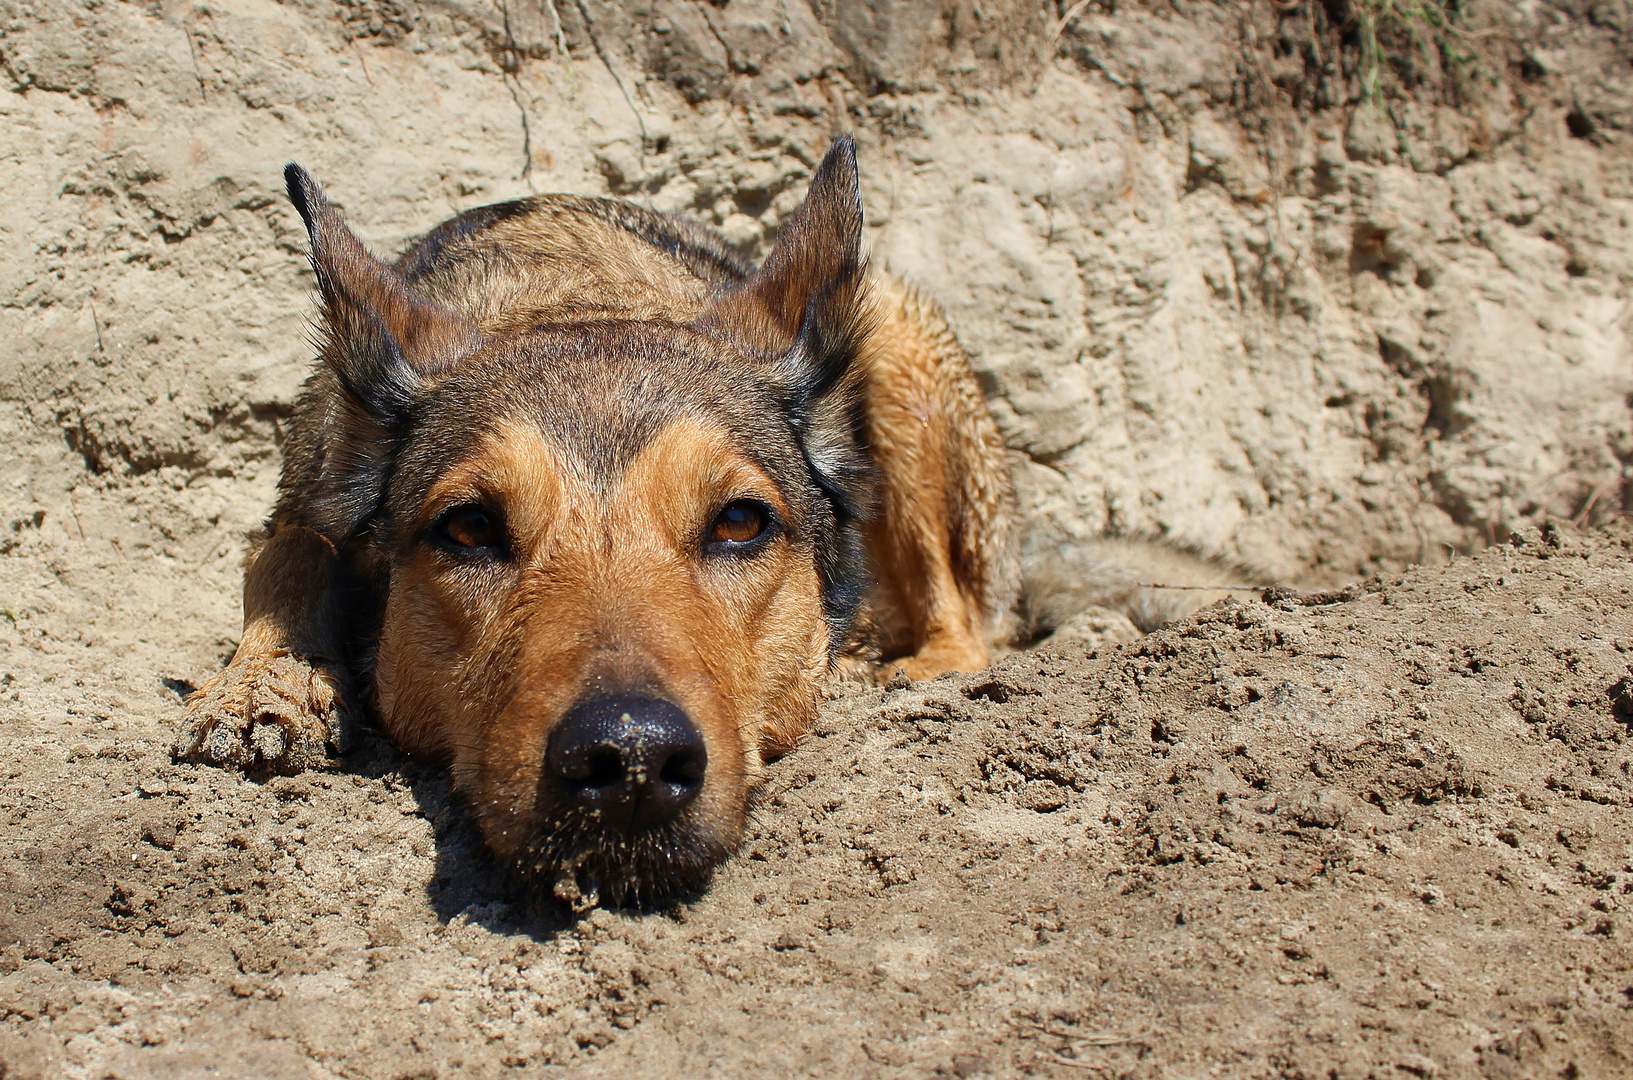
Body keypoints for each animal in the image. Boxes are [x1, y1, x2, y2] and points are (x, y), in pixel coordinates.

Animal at [178, 138, 1018, 908]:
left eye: (739, 522)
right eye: (469, 528)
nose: (631, 760)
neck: (576, 296)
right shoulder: (308, 494)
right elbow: (287, 550)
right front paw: (263, 682)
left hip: (896, 341)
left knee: (962, 620)